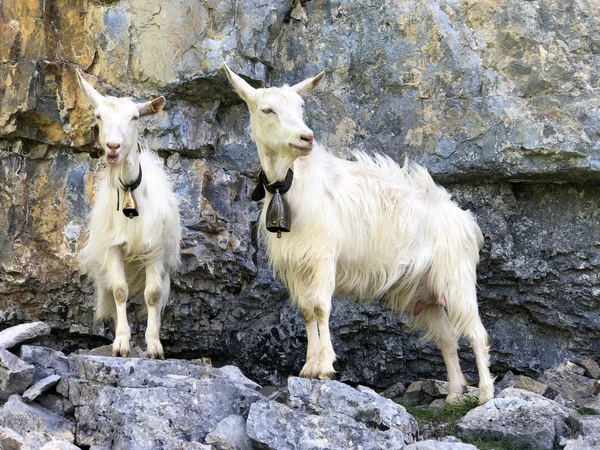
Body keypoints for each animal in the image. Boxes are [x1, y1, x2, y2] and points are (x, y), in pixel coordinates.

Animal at [75, 70, 179, 358]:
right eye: (99, 116)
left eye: (134, 117)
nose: (113, 147)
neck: (130, 190)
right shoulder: (113, 247)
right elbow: (120, 291)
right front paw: (121, 342)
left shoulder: (154, 249)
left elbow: (152, 295)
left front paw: (154, 346)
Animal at [225, 64, 492, 404]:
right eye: (267, 109)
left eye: (301, 106)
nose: (306, 137)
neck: (293, 185)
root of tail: (466, 221)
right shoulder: (297, 265)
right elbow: (307, 311)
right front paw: (308, 367)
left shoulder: (323, 258)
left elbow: (321, 307)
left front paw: (325, 367)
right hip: (429, 293)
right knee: (447, 338)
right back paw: (454, 394)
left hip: (456, 277)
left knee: (476, 332)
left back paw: (485, 394)